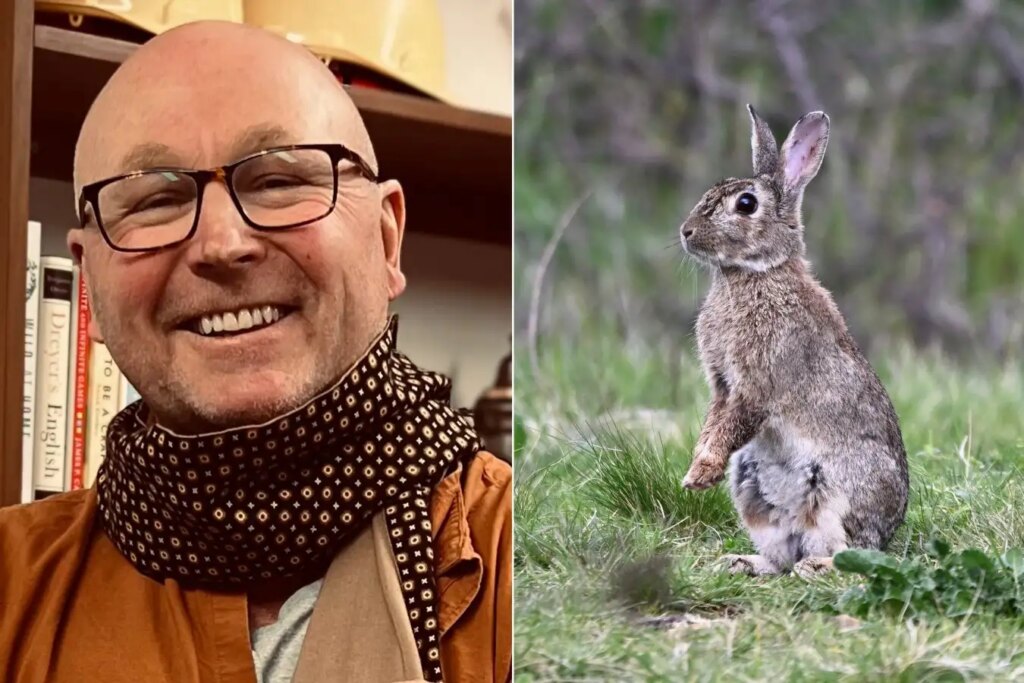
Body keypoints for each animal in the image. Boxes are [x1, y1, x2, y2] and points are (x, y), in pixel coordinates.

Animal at [678, 106, 909, 577]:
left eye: (746, 204)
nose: (685, 232)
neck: (756, 273)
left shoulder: (758, 383)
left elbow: (734, 422)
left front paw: (700, 475)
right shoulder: (722, 385)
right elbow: (714, 422)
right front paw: (695, 472)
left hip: (841, 492)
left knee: (852, 553)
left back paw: (815, 568)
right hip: (750, 488)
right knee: (779, 557)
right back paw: (740, 563)